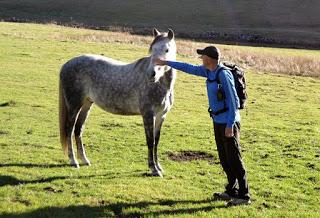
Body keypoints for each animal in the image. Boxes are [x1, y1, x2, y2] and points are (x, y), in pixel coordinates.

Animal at [58, 28, 176, 177]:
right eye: (152, 49)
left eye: (167, 50)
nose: (151, 74)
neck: (161, 84)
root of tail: (66, 65)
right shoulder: (148, 115)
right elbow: (150, 141)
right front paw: (153, 169)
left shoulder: (161, 116)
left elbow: (156, 141)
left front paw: (159, 167)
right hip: (74, 105)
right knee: (69, 129)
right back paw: (74, 161)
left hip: (86, 104)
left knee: (78, 129)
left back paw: (84, 159)